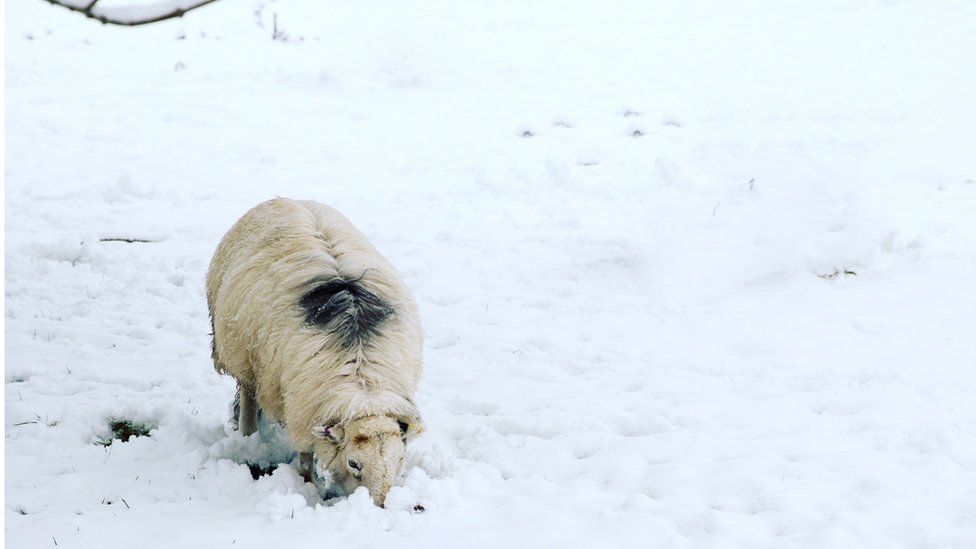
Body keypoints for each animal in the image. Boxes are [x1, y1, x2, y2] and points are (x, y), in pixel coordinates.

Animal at [208, 197, 426, 506]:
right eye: (354, 464)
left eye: (400, 460)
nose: (381, 506)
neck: (363, 389)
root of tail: (286, 198)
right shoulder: (304, 409)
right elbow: (305, 458)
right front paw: (307, 487)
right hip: (241, 353)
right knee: (248, 393)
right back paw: (248, 436)